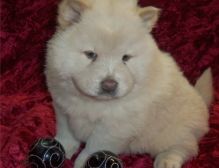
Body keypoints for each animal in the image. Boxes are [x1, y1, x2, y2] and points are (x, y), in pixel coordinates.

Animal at [45, 0, 212, 167]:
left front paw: (82, 162)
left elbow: (93, 147)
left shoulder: (114, 128)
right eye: (91, 54)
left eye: (125, 58)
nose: (109, 84)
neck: (91, 102)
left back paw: (166, 161)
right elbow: (66, 133)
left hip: (173, 131)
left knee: (184, 147)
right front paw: (63, 148)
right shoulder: (63, 108)